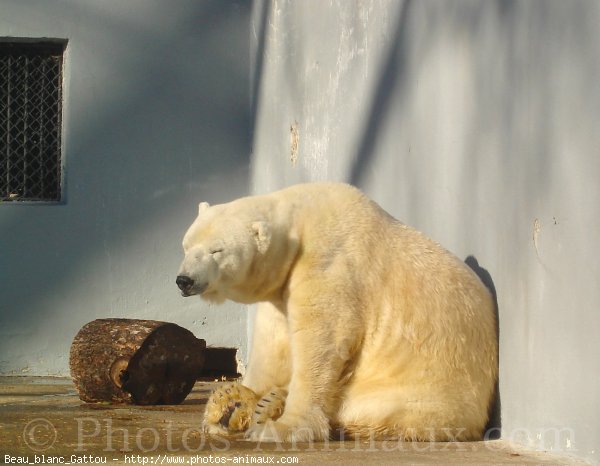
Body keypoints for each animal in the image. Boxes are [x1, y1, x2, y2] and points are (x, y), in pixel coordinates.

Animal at [177, 183, 496, 444]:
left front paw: (281, 428)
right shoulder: (281, 288)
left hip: (419, 391)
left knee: (368, 409)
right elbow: (274, 344)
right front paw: (232, 401)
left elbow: (321, 340)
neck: (300, 225)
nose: (184, 280)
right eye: (186, 246)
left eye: (217, 251)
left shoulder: (327, 264)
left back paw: (274, 405)